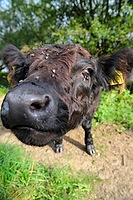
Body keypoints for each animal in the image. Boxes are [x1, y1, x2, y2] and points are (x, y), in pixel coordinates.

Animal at [0, 44, 132, 155]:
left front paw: (90, 147)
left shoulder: (93, 106)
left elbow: (87, 126)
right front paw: (58, 144)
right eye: (24, 68)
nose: (19, 103)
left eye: (87, 71)